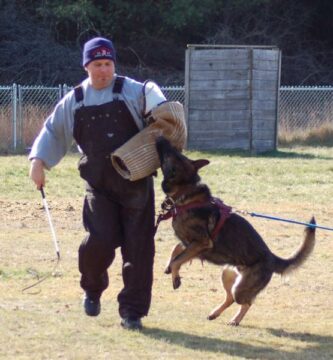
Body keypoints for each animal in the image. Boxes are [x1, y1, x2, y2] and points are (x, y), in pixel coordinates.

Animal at [154, 136, 316, 324]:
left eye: (169, 153)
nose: (160, 137)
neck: (187, 194)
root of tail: (271, 257)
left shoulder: (201, 242)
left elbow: (177, 260)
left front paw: (175, 275)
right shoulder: (190, 244)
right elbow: (176, 252)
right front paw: (169, 268)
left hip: (241, 289)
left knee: (245, 302)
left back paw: (236, 320)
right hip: (227, 273)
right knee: (230, 298)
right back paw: (215, 313)